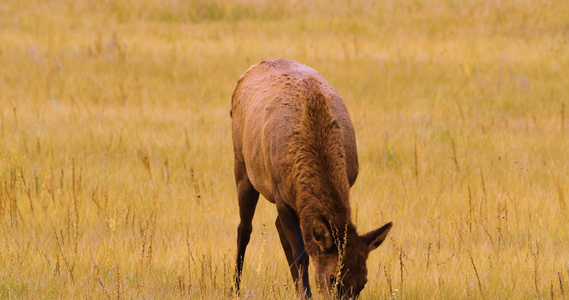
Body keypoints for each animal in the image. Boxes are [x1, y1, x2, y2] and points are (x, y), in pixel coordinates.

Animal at [231, 58, 390, 298]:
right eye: (333, 278)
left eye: (363, 282)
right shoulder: (281, 194)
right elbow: (301, 255)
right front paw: (305, 294)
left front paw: (301, 290)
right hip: (242, 166)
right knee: (244, 228)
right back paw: (234, 288)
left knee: (277, 227)